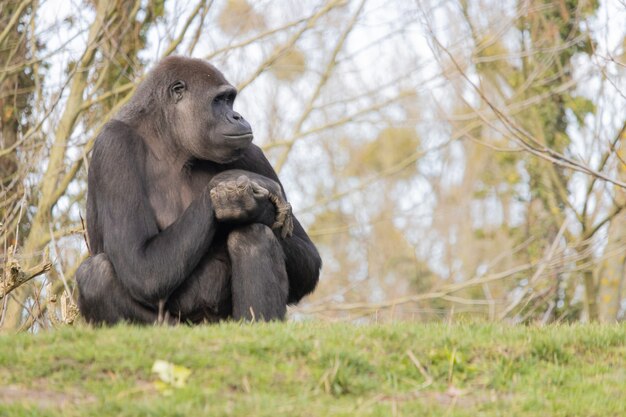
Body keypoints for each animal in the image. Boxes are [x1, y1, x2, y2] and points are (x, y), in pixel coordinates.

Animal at [77, 55, 322, 324]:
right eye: (219, 100)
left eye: (230, 100)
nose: (237, 116)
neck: (170, 142)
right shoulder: (114, 145)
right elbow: (140, 266)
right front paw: (234, 187)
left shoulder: (252, 153)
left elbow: (309, 262)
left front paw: (252, 206)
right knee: (96, 275)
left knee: (252, 235)